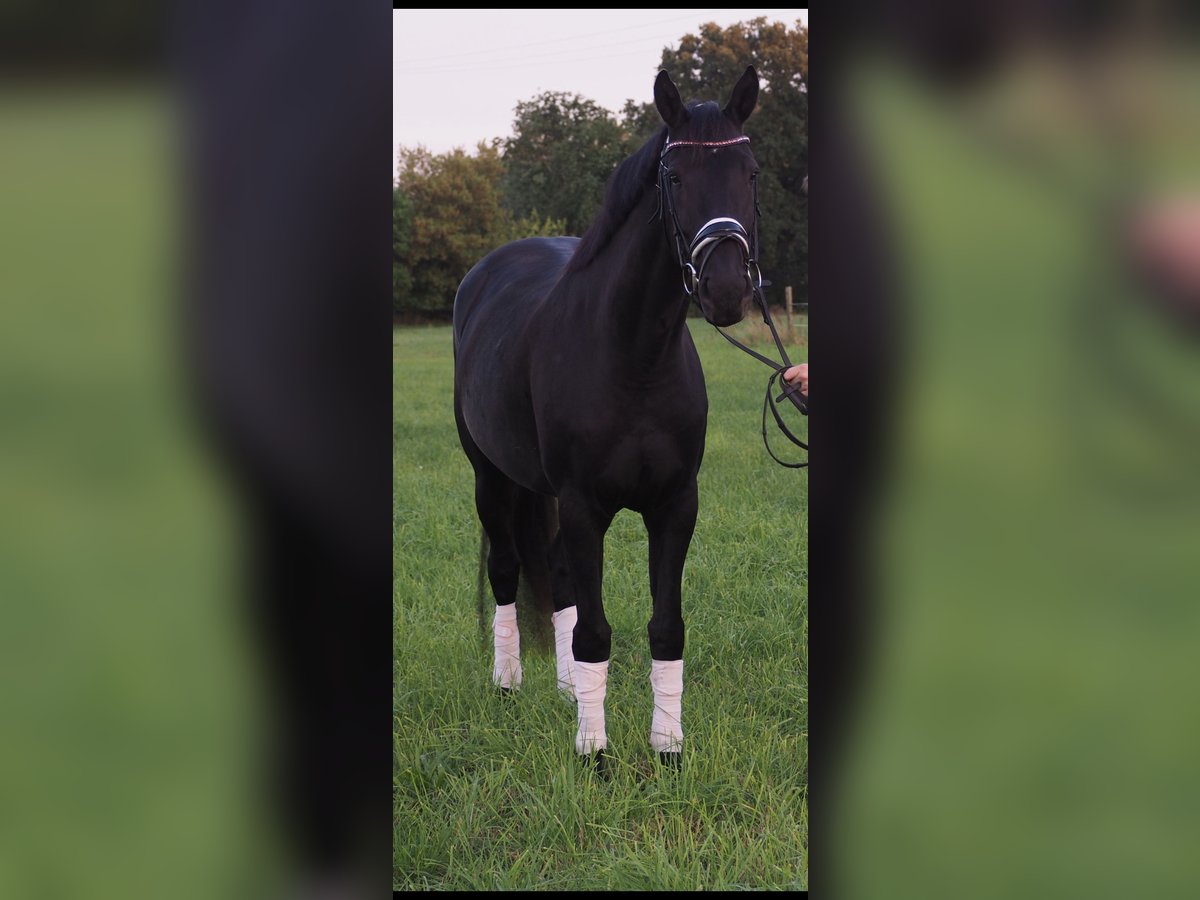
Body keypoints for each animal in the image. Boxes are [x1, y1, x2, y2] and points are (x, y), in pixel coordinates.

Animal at [451, 66, 758, 768]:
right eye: (676, 179)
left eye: (751, 171)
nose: (727, 288)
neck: (634, 358)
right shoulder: (586, 504)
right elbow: (594, 631)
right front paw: (594, 754)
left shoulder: (675, 504)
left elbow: (666, 626)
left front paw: (667, 748)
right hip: (492, 477)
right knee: (508, 569)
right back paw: (508, 685)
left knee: (559, 575)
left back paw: (567, 691)